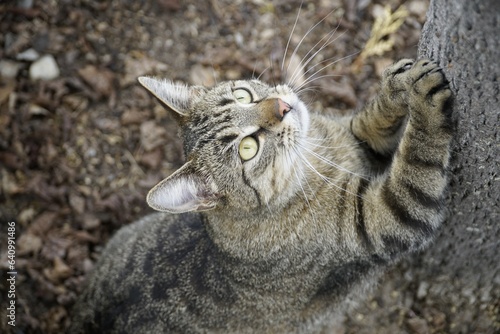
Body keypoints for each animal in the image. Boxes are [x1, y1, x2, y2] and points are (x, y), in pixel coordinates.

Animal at [69, 54, 454, 332]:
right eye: (248, 148)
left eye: (243, 95)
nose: (283, 106)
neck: (315, 156)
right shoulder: (386, 216)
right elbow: (418, 160)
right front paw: (426, 100)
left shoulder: (357, 138)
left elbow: (372, 119)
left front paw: (395, 84)